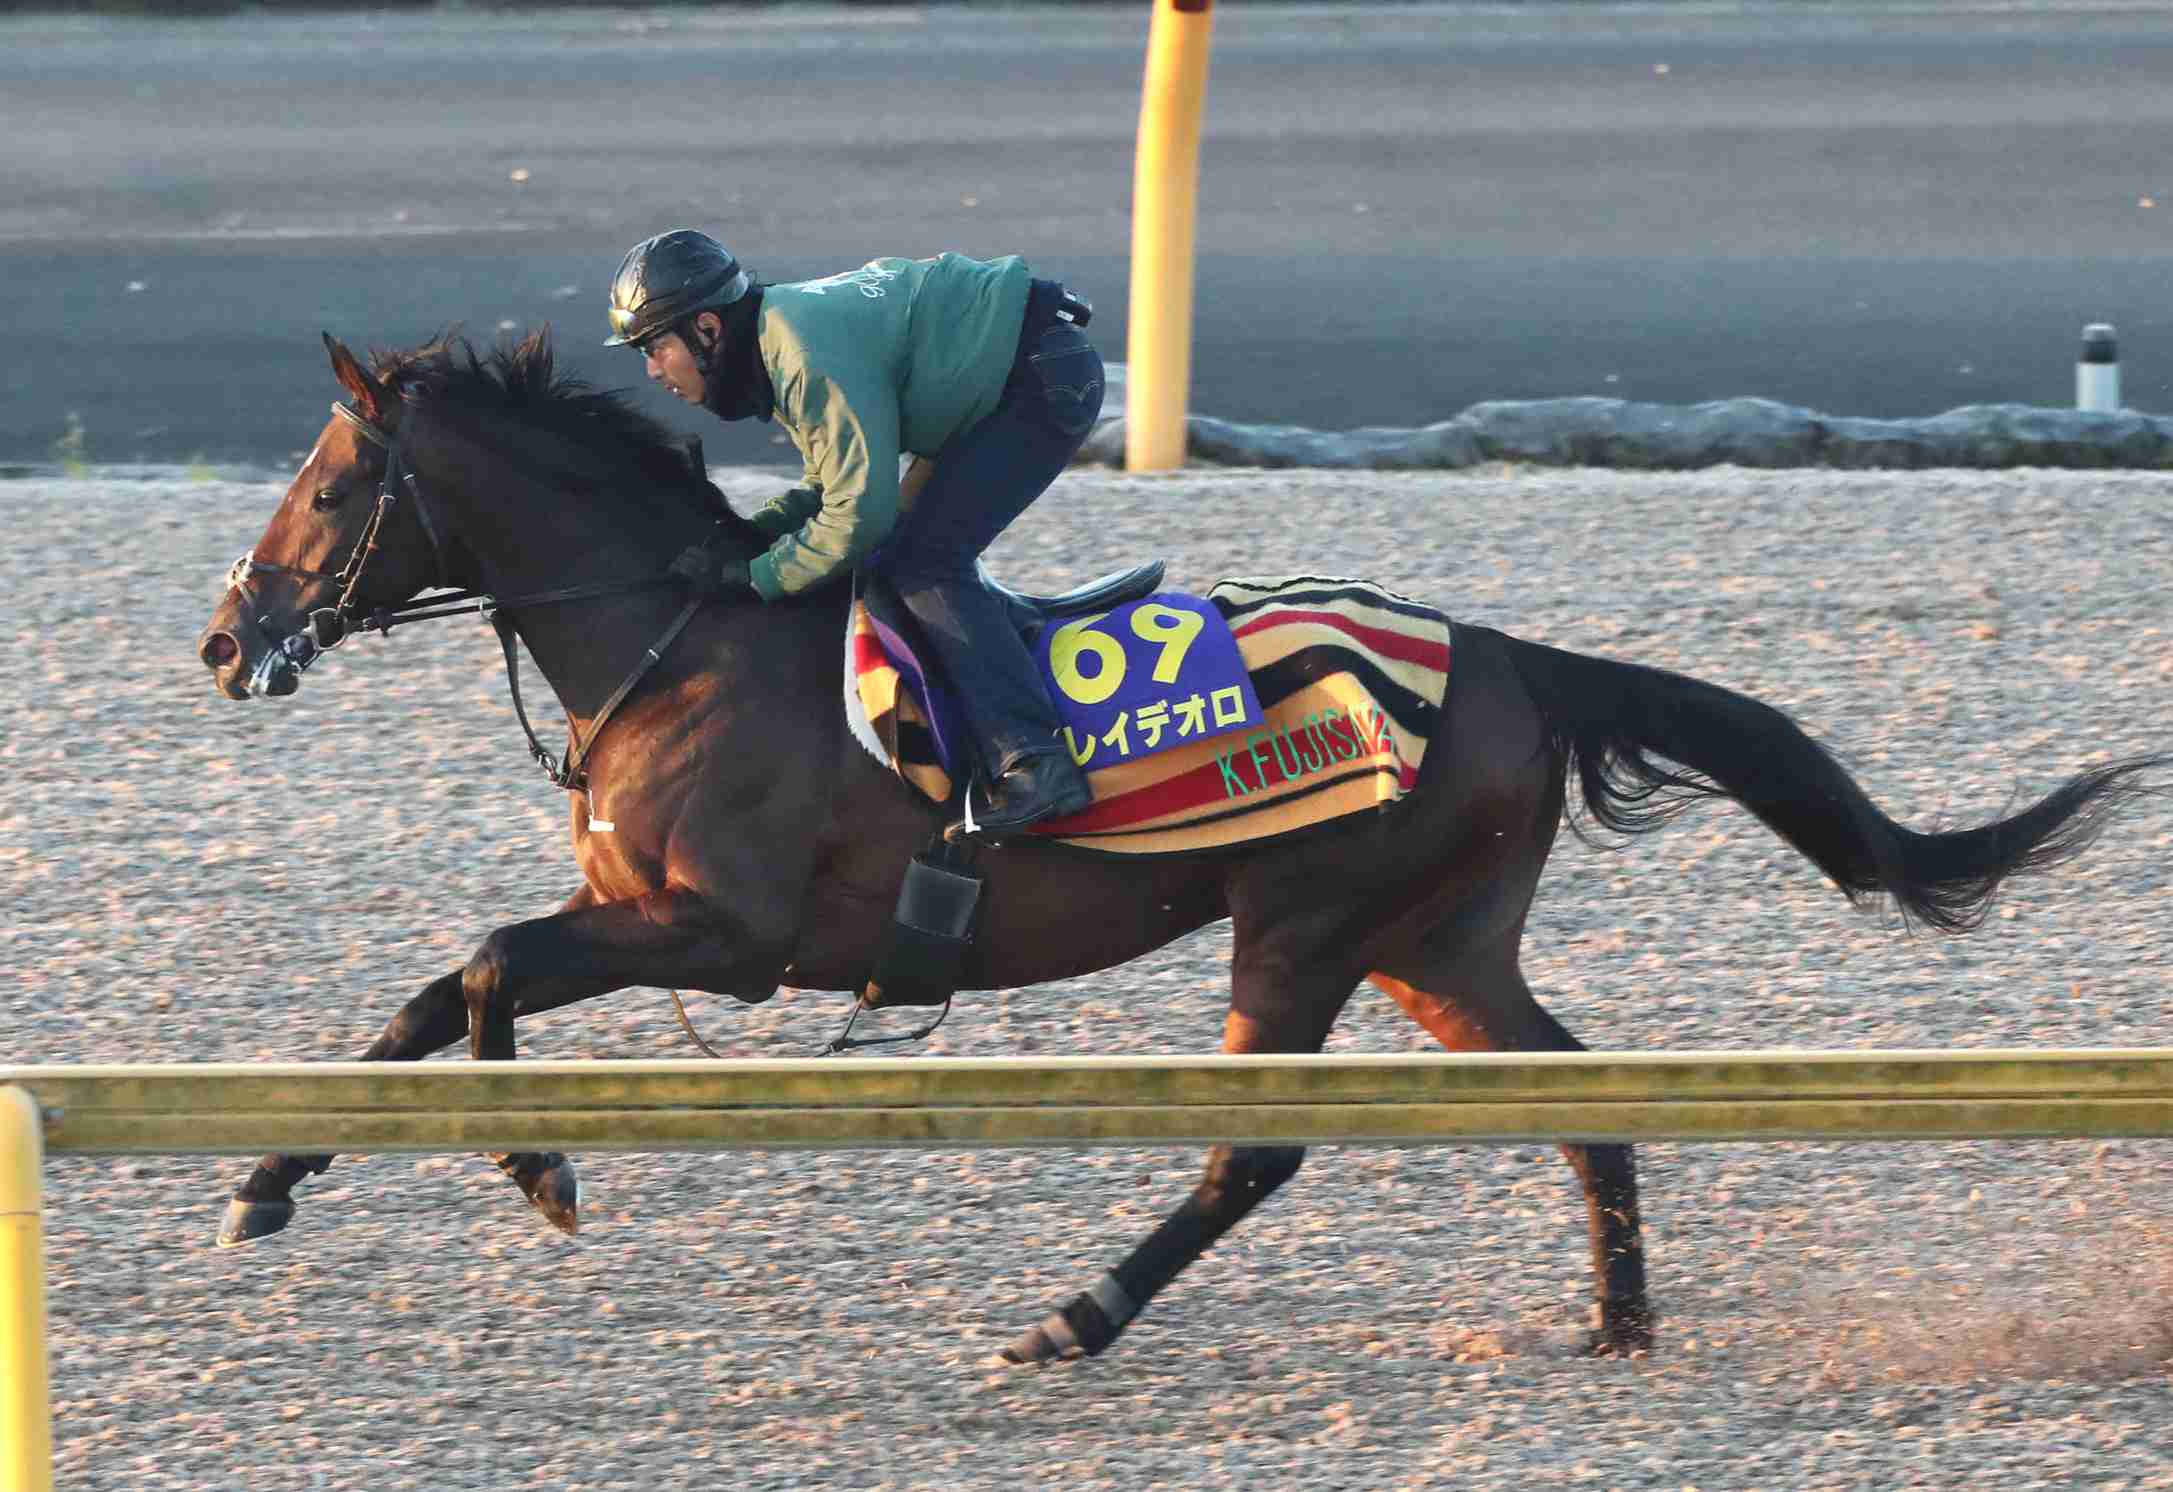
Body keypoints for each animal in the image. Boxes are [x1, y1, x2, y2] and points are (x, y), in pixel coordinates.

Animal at [196, 329, 2158, 1365]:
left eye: (328, 484)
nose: (226, 639)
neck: (681, 637)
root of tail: (1515, 657)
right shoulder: (632, 907)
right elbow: (418, 999)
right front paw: (265, 1178)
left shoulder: (720, 933)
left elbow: (481, 971)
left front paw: (537, 1164)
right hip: (1434, 940)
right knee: (1575, 1090)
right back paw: (1613, 1320)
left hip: (1304, 925)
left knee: (1252, 1151)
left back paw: (1077, 1313)